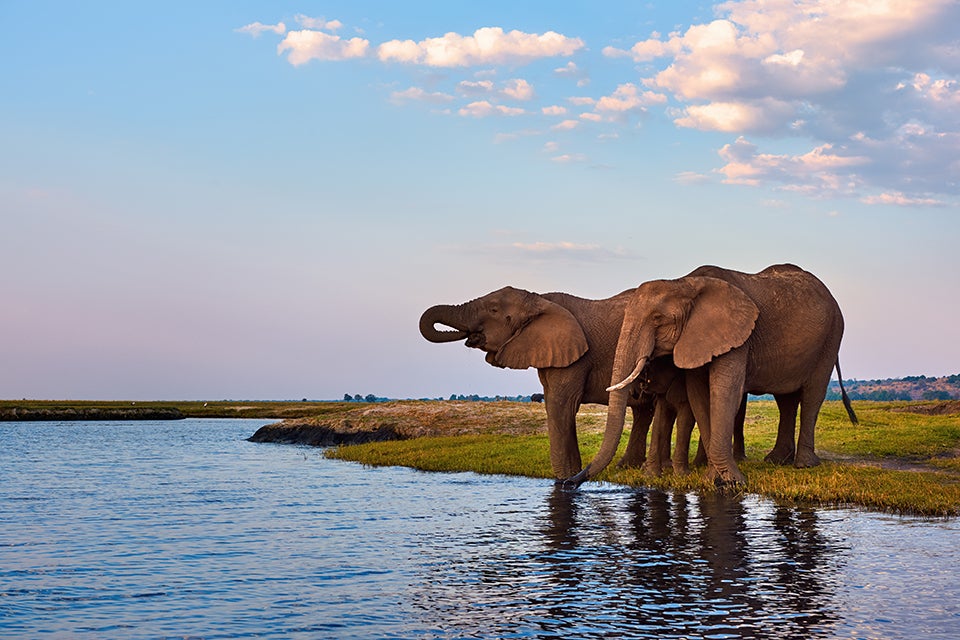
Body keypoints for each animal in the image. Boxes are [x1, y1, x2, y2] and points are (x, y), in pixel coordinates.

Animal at [421, 286, 662, 479]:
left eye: (493, 310)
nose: (469, 336)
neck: (539, 300)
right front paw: (570, 477)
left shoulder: (576, 358)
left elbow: (561, 405)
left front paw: (565, 479)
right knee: (643, 410)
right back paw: (626, 467)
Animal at [568, 264, 858, 487]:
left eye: (658, 319)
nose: (570, 482)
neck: (684, 283)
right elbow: (698, 396)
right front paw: (712, 479)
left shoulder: (737, 337)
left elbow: (725, 392)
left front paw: (732, 482)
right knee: (785, 399)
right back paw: (777, 461)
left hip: (832, 336)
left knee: (812, 394)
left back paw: (803, 466)